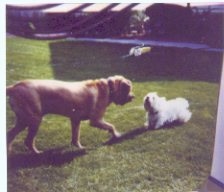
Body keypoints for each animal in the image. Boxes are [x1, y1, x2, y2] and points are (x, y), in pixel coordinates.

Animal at [6, 75, 134, 153]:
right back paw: (37, 153)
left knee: (10, 135)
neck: (109, 88)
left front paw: (79, 147)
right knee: (28, 141)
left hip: (23, 120)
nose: (133, 97)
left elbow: (75, 137)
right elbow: (112, 126)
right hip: (33, 119)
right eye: (128, 89)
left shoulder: (75, 120)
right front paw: (117, 135)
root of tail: (13, 87)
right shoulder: (96, 120)